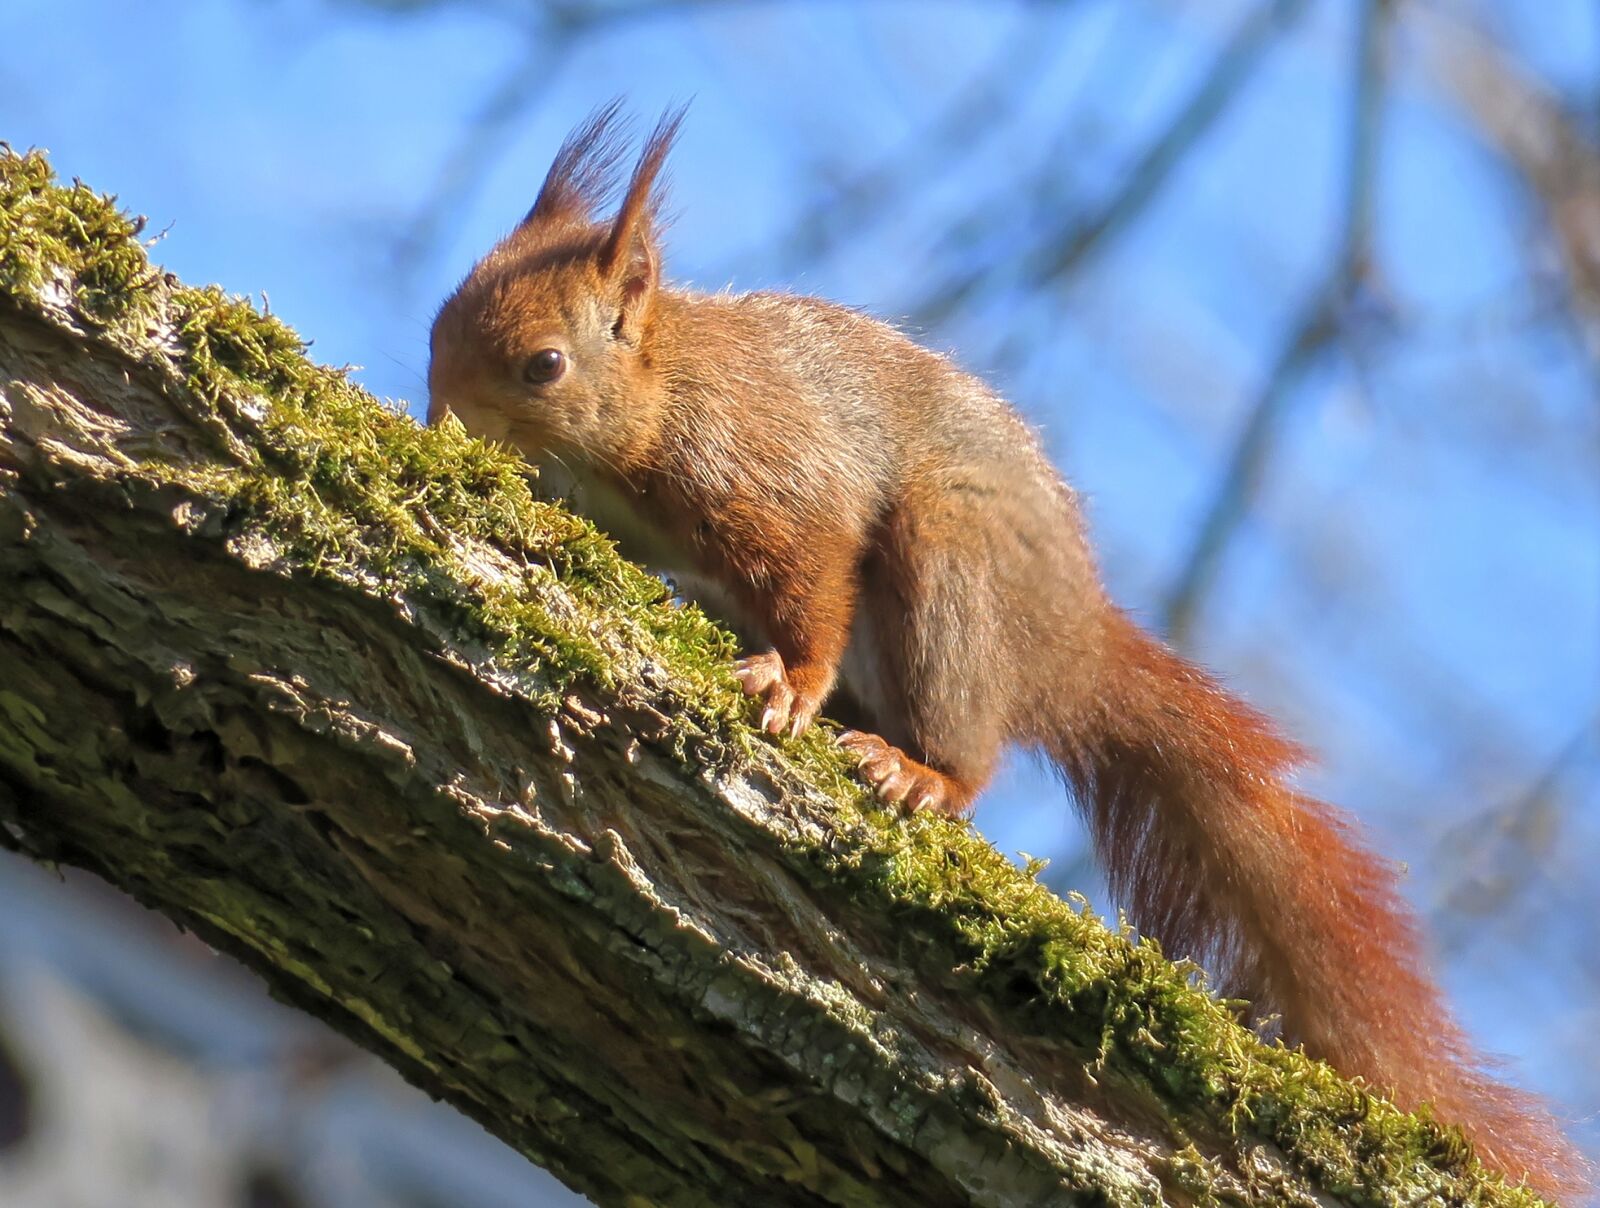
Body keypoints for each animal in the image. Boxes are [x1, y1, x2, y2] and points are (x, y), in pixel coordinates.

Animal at [426, 105, 1588, 1200]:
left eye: (544, 366)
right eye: (440, 318)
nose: (439, 417)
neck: (659, 398)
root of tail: (1066, 650)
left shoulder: (769, 472)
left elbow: (813, 578)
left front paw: (787, 683)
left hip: (950, 573)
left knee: (968, 749)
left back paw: (918, 771)